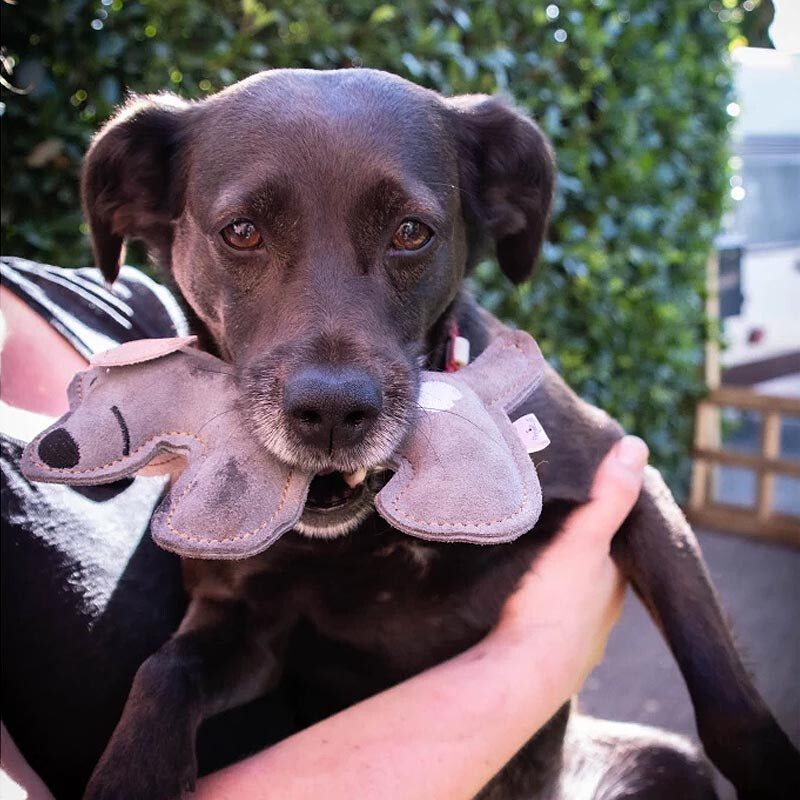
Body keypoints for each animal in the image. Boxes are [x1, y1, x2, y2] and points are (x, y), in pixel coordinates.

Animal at [78, 69, 796, 800]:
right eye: (242, 232)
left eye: (411, 231)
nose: (332, 412)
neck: (372, 525)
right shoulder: (247, 626)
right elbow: (163, 669)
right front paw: (132, 773)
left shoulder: (630, 481)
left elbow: (721, 682)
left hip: (661, 758)